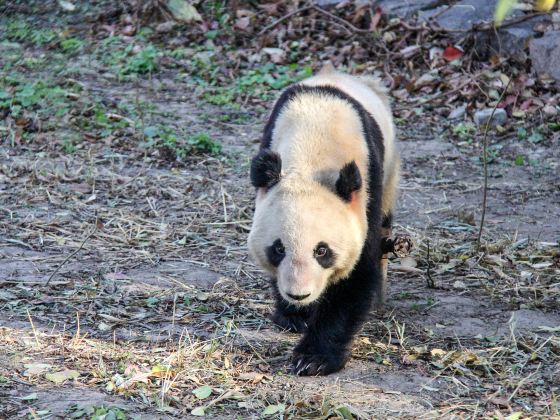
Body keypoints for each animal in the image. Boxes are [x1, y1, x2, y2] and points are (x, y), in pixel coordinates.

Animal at [248, 65, 398, 378]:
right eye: (278, 248)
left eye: (322, 250)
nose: (299, 294)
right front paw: (293, 314)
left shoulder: (364, 191)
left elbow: (357, 276)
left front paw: (313, 358)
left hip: (391, 170)